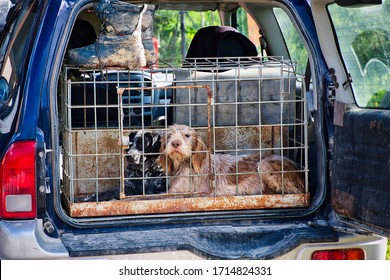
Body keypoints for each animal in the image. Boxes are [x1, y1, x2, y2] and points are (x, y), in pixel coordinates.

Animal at [158, 123, 304, 196]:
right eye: (169, 136)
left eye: (187, 135)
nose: (175, 143)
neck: (182, 163)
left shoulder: (181, 191)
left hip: (264, 167)